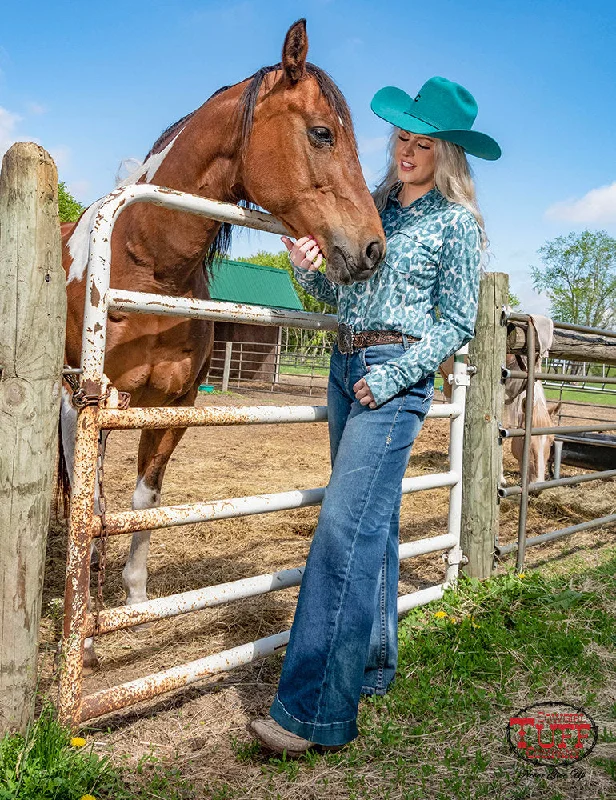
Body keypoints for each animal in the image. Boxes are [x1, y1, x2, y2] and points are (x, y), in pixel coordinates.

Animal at [59, 18, 384, 668]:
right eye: (322, 133)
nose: (372, 249)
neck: (143, 257)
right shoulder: (92, 408)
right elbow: (94, 505)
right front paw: (84, 633)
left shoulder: (173, 406)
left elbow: (145, 501)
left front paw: (134, 601)